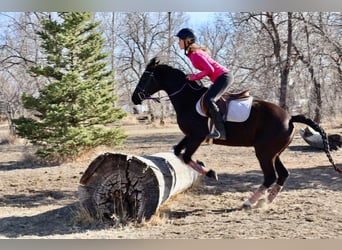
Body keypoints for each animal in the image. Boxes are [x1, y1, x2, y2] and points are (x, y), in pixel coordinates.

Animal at [130, 57, 340, 207]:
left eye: (145, 77)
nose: (134, 98)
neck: (187, 98)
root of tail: (289, 118)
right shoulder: (190, 136)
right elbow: (178, 152)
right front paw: (206, 169)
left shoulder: (197, 136)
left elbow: (187, 156)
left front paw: (211, 173)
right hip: (274, 152)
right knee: (282, 174)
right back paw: (266, 201)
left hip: (264, 152)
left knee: (271, 176)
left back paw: (250, 201)